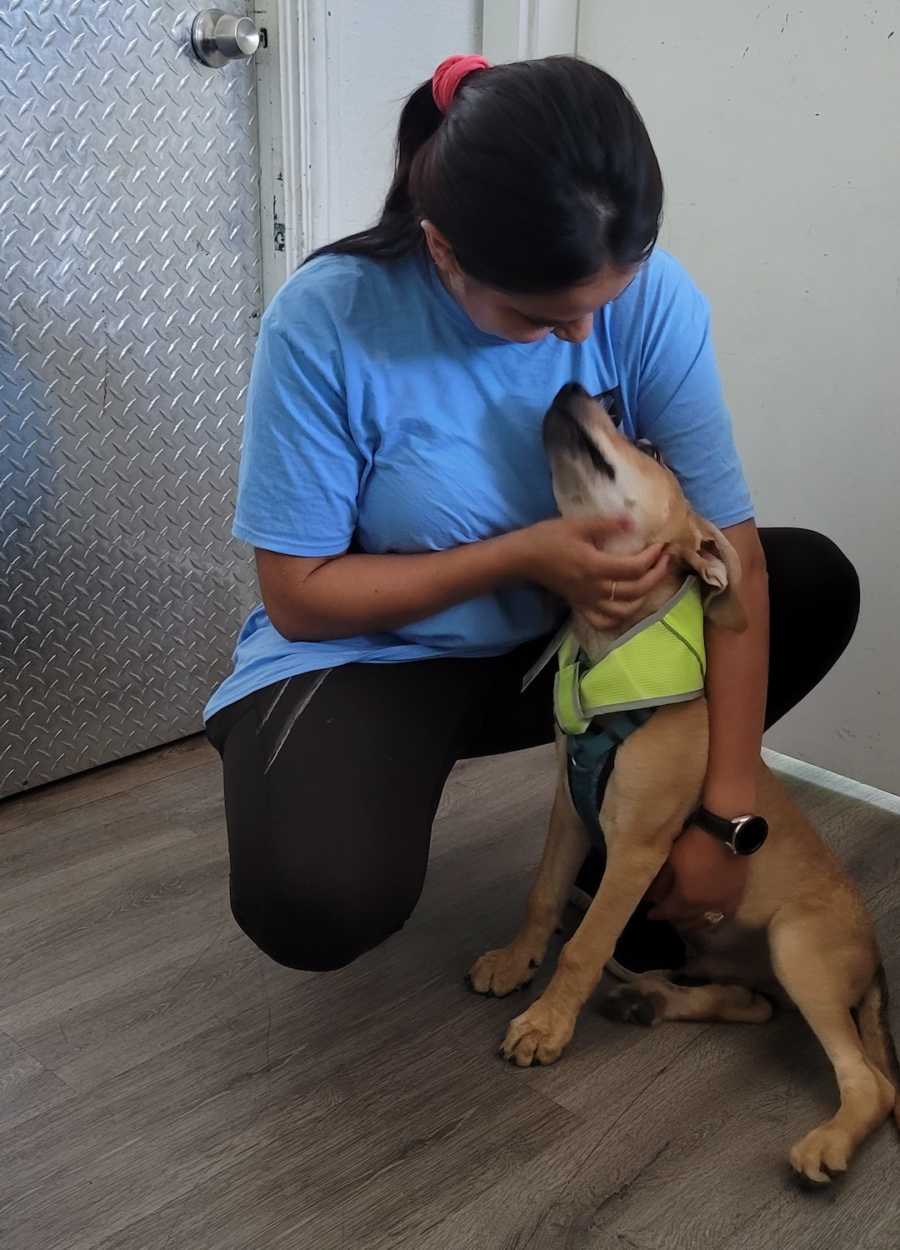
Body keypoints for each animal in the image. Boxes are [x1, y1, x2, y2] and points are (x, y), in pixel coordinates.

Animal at [467, 385, 895, 1185]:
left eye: (651, 448)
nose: (576, 389)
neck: (609, 645)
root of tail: (876, 953)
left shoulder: (636, 848)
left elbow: (585, 945)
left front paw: (546, 1023)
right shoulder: (569, 810)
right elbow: (544, 894)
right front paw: (515, 960)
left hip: (800, 946)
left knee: (873, 1083)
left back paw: (826, 1143)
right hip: (732, 958)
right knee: (756, 1007)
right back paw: (653, 1000)